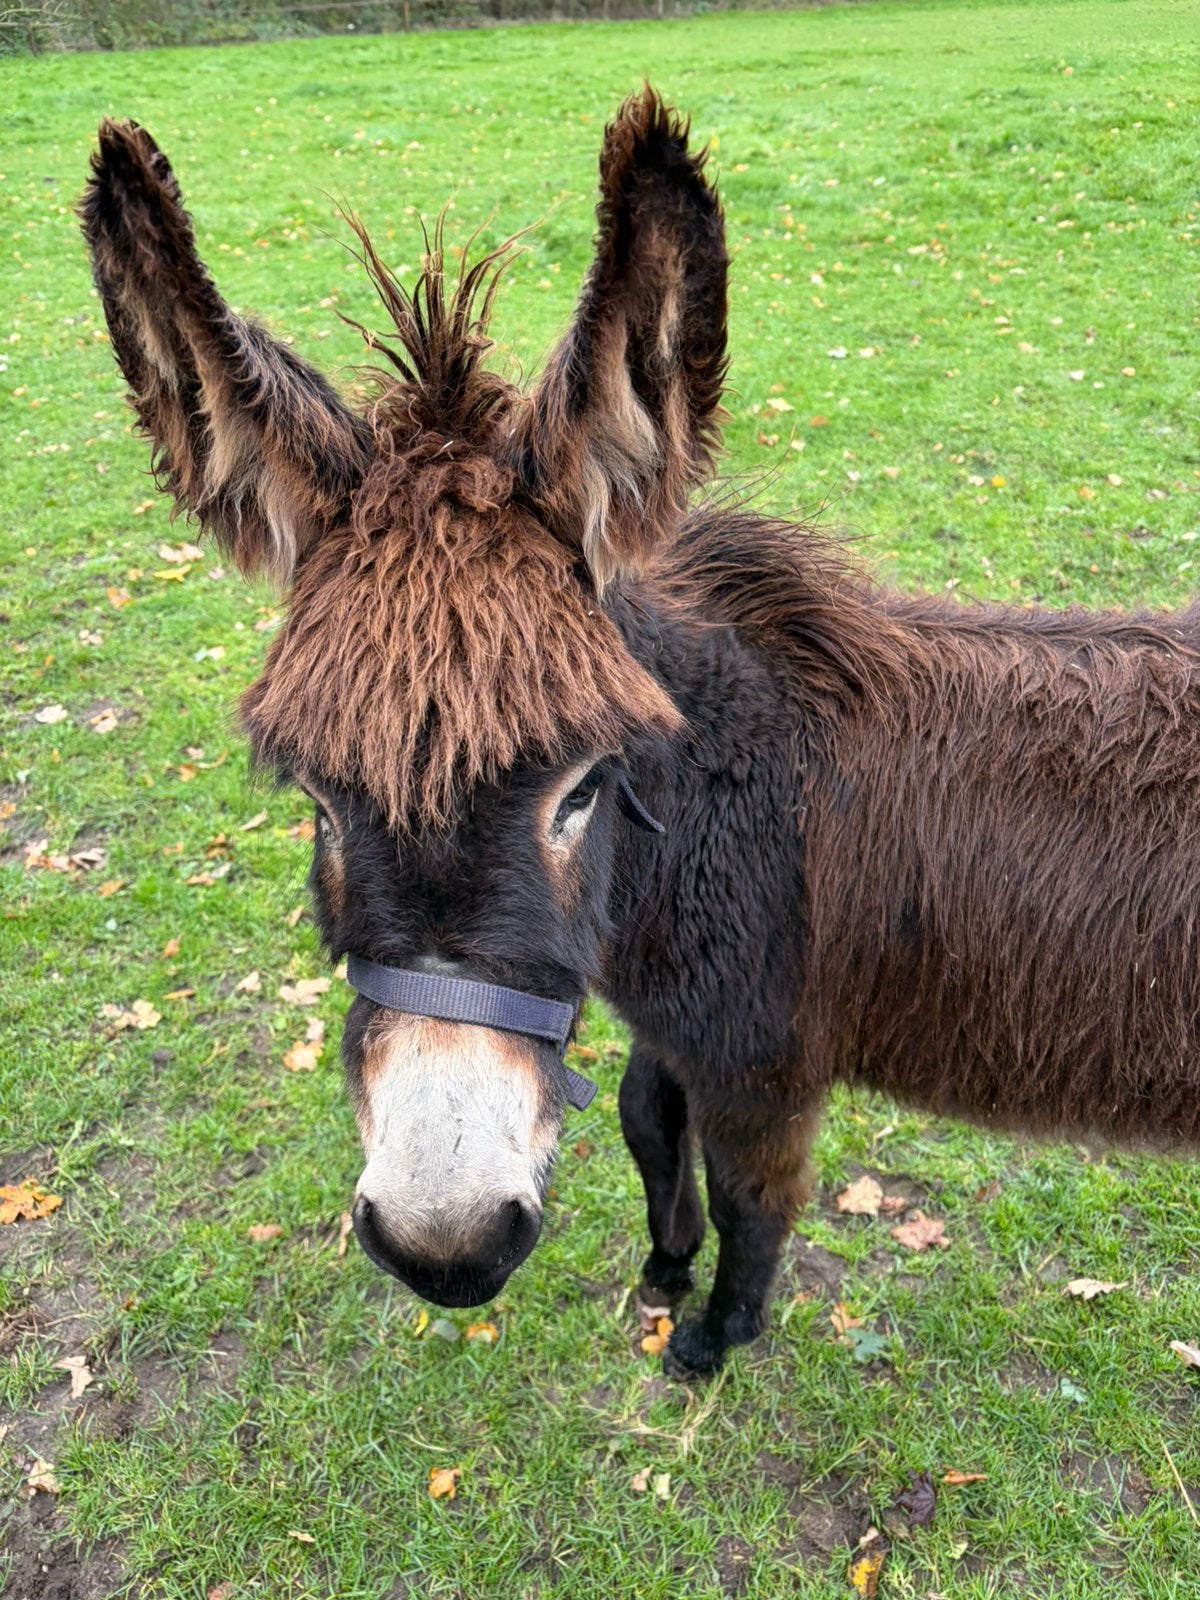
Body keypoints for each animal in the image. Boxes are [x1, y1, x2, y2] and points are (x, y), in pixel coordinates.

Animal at [81, 89, 1200, 1378]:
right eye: (317, 798)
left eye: (582, 786)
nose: (445, 1247)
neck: (713, 806)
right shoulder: (670, 1017)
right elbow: (642, 1122)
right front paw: (665, 1268)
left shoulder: (764, 1056)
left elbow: (753, 1194)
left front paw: (715, 1334)